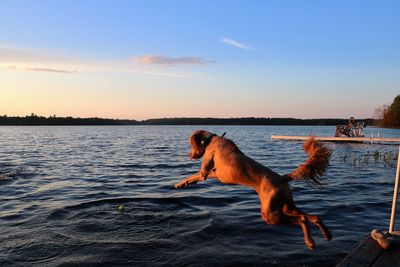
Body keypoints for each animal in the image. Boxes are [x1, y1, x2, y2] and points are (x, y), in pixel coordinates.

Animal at [175, 131, 332, 250]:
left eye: (190, 144)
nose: (190, 156)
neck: (212, 140)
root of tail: (282, 178)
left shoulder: (206, 172)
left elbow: (193, 175)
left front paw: (179, 183)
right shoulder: (217, 174)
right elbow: (193, 177)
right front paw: (185, 184)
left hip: (270, 214)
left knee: (302, 219)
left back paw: (310, 242)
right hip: (286, 207)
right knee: (313, 217)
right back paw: (326, 235)